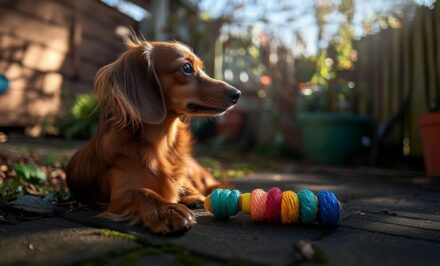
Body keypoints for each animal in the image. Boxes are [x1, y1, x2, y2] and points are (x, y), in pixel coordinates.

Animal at [66, 36, 241, 234]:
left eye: (202, 68)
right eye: (186, 68)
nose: (237, 94)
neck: (160, 143)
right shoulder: (121, 194)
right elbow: (143, 193)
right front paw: (168, 210)